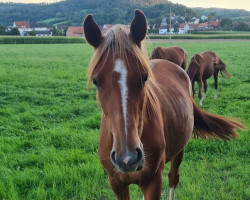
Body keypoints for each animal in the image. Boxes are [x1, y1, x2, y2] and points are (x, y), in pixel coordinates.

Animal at [83, 9, 245, 200]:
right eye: (96, 81)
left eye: (145, 77)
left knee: (173, 177)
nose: (128, 158)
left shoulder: (153, 182)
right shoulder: (117, 184)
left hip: (179, 150)